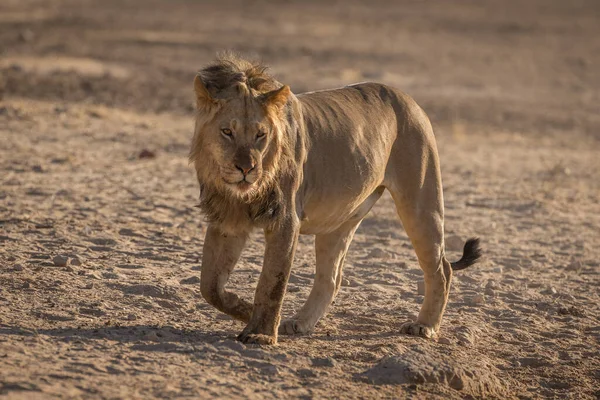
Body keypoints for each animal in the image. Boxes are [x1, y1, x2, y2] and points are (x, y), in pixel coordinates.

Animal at [190, 54, 480, 346]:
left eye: (261, 135)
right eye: (227, 132)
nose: (246, 168)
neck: (239, 193)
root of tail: (408, 98)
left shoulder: (285, 218)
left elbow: (272, 282)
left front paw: (261, 333)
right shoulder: (227, 220)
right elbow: (209, 286)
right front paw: (246, 311)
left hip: (421, 202)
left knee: (441, 269)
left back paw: (425, 325)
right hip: (340, 220)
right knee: (331, 278)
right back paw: (299, 322)